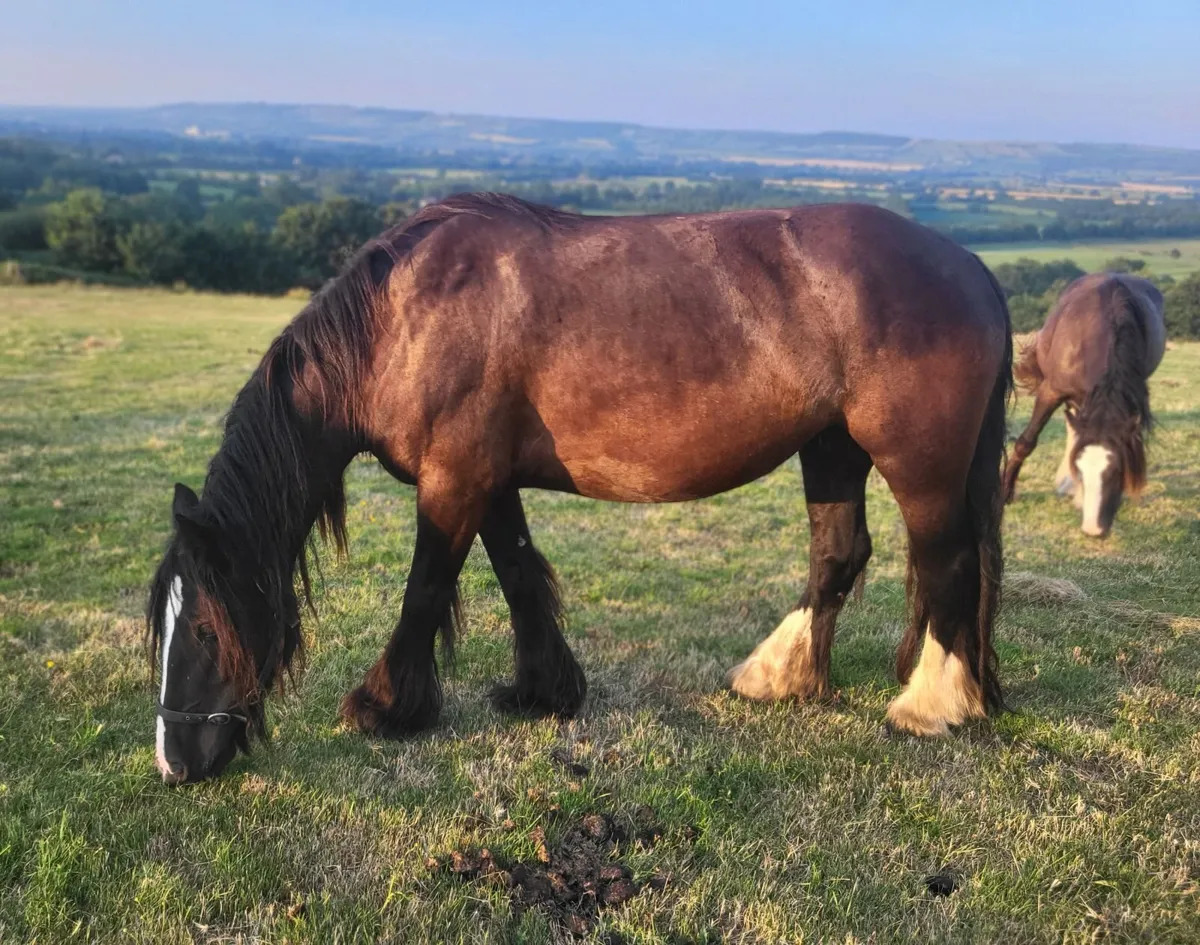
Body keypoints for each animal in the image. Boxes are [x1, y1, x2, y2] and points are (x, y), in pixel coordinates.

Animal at [147, 193, 1012, 784]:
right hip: (830, 447)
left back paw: (929, 706)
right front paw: (545, 689)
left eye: (205, 632)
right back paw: (777, 677)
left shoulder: (454, 481)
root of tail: (973, 268)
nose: (174, 760)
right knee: (839, 554)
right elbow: (520, 576)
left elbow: (424, 591)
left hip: (918, 465)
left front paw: (384, 705)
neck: (405, 319)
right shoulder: (487, 482)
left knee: (947, 565)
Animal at [1002, 272, 1165, 538]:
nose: (1093, 529)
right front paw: (1005, 493)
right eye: (1080, 467)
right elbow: (1026, 442)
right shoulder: (1052, 391)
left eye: (1118, 471)